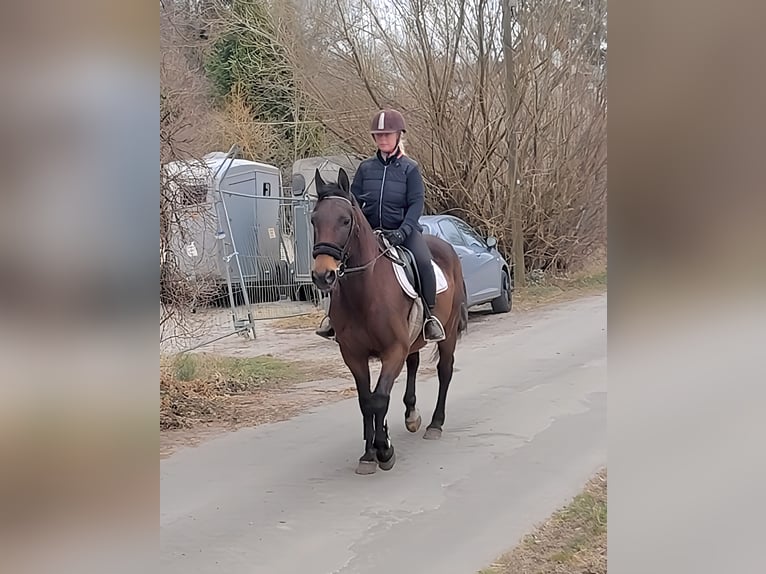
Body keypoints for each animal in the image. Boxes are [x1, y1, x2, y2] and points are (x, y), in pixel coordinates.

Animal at [310, 168, 468, 476]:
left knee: (444, 371)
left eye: (345, 220)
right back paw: (412, 415)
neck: (365, 292)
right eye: (313, 220)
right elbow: (366, 401)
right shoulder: (353, 355)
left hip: (448, 332)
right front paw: (368, 453)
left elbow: (380, 398)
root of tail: (447, 246)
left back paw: (435, 424)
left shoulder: (392, 350)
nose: (323, 275)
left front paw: (384, 450)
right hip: (414, 340)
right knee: (414, 364)